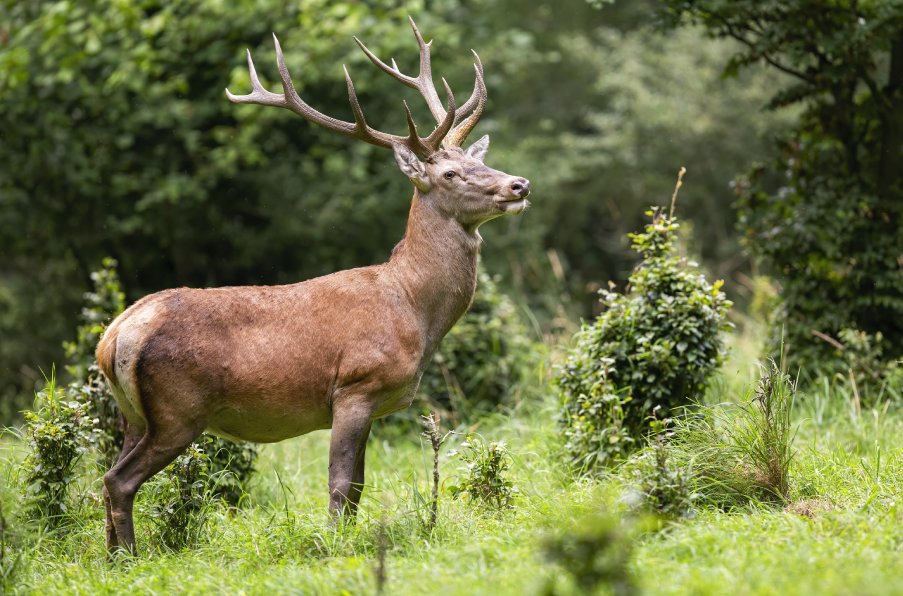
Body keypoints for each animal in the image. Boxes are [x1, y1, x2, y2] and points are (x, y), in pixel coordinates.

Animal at [95, 17, 530, 555]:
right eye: (450, 173)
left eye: (480, 162)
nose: (518, 184)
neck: (413, 310)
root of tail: (115, 334)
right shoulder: (357, 385)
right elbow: (341, 484)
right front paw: (334, 546)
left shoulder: (372, 404)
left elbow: (360, 485)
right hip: (178, 409)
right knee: (119, 480)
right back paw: (129, 558)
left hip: (131, 413)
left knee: (107, 476)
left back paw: (110, 557)